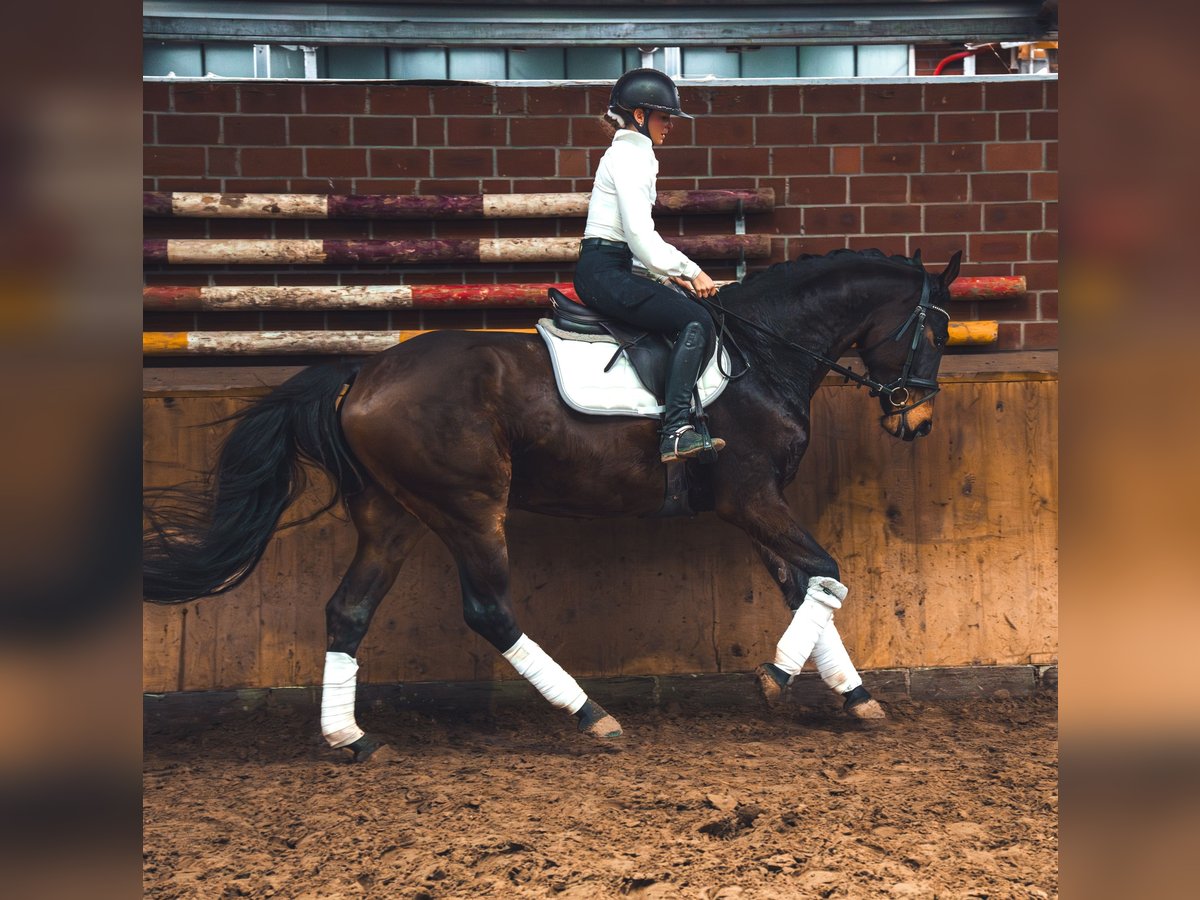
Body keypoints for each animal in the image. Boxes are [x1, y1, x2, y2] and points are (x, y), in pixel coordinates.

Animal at [142, 247, 964, 763]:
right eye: (936, 331)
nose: (919, 420)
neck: (762, 356)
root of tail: (362, 374)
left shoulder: (759, 506)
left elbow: (808, 584)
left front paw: (854, 695)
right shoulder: (751, 497)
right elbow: (827, 572)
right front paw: (777, 677)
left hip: (392, 515)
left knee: (348, 611)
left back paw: (352, 739)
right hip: (469, 507)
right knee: (489, 611)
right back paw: (592, 716)